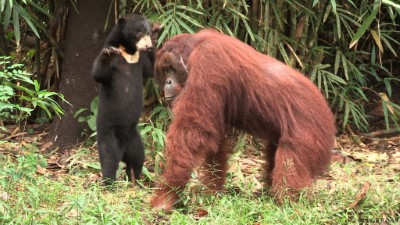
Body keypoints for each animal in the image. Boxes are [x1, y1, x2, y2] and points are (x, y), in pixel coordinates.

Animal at [90, 14, 159, 186]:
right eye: (138, 34)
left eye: (148, 33)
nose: (148, 46)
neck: (130, 51)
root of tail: (122, 149)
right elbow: (98, 74)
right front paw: (108, 53)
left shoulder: (141, 61)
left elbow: (154, 69)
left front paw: (157, 31)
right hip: (108, 133)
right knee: (109, 160)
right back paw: (109, 184)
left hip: (135, 140)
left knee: (137, 159)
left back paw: (135, 181)